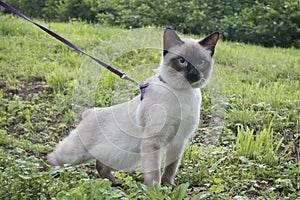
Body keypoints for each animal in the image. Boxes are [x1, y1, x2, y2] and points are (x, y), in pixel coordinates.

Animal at [45, 27, 219, 186]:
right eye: (182, 61)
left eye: (201, 62)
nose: (193, 74)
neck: (182, 93)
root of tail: (91, 112)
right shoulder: (154, 141)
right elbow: (154, 174)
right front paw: (156, 191)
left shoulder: (178, 141)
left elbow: (170, 169)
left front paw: (169, 187)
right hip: (74, 155)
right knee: (49, 159)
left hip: (121, 155)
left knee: (101, 165)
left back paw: (115, 184)